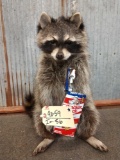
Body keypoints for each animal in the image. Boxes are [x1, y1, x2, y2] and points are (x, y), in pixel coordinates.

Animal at [24, 12, 108, 155]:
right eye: (52, 42)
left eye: (69, 42)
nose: (59, 55)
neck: (61, 62)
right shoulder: (44, 71)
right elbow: (44, 89)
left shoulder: (80, 70)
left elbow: (79, 86)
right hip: (39, 111)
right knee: (39, 121)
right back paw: (48, 137)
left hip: (87, 108)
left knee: (91, 116)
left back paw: (87, 136)